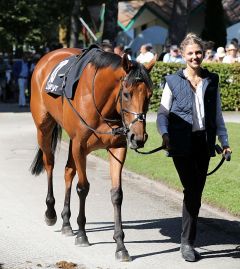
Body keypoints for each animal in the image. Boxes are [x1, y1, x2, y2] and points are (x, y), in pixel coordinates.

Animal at [30, 47, 155, 260]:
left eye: (149, 95)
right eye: (127, 94)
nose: (138, 137)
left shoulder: (118, 147)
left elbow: (117, 194)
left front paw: (120, 245)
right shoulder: (80, 147)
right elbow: (83, 188)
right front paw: (82, 233)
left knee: (68, 172)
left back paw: (66, 222)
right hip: (44, 129)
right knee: (50, 164)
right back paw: (50, 212)